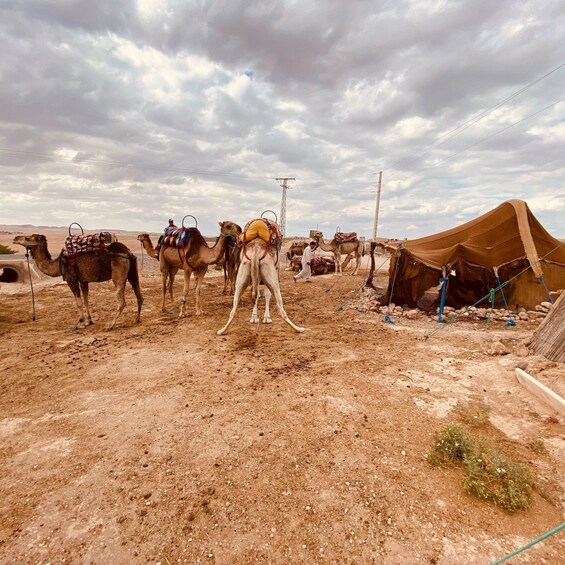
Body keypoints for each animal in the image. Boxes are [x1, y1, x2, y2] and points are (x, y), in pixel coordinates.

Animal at [12, 235, 142, 330]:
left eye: (28, 238)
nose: (15, 238)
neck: (59, 263)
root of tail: (127, 252)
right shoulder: (83, 281)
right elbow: (86, 300)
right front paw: (89, 321)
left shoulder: (71, 279)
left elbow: (78, 302)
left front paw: (81, 324)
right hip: (132, 272)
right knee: (139, 296)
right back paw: (136, 319)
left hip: (118, 274)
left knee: (121, 301)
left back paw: (109, 325)